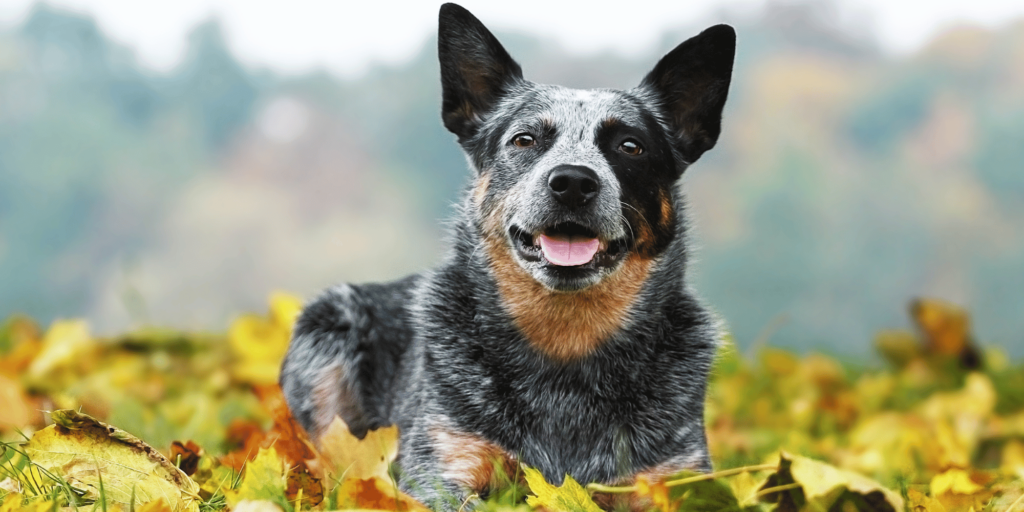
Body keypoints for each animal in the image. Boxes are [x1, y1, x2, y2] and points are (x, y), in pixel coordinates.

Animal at [280, 3, 737, 507]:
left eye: (630, 146)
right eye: (524, 139)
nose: (573, 181)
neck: (566, 348)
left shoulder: (676, 478)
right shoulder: (441, 467)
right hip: (327, 328)